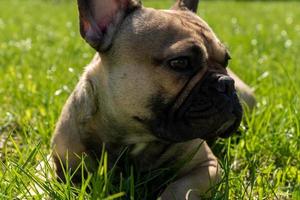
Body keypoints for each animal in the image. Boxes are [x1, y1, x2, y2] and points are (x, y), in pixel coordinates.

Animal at [51, 0, 255, 198]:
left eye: (226, 60)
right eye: (180, 62)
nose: (226, 83)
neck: (135, 137)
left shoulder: (206, 166)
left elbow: (178, 190)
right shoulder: (56, 165)